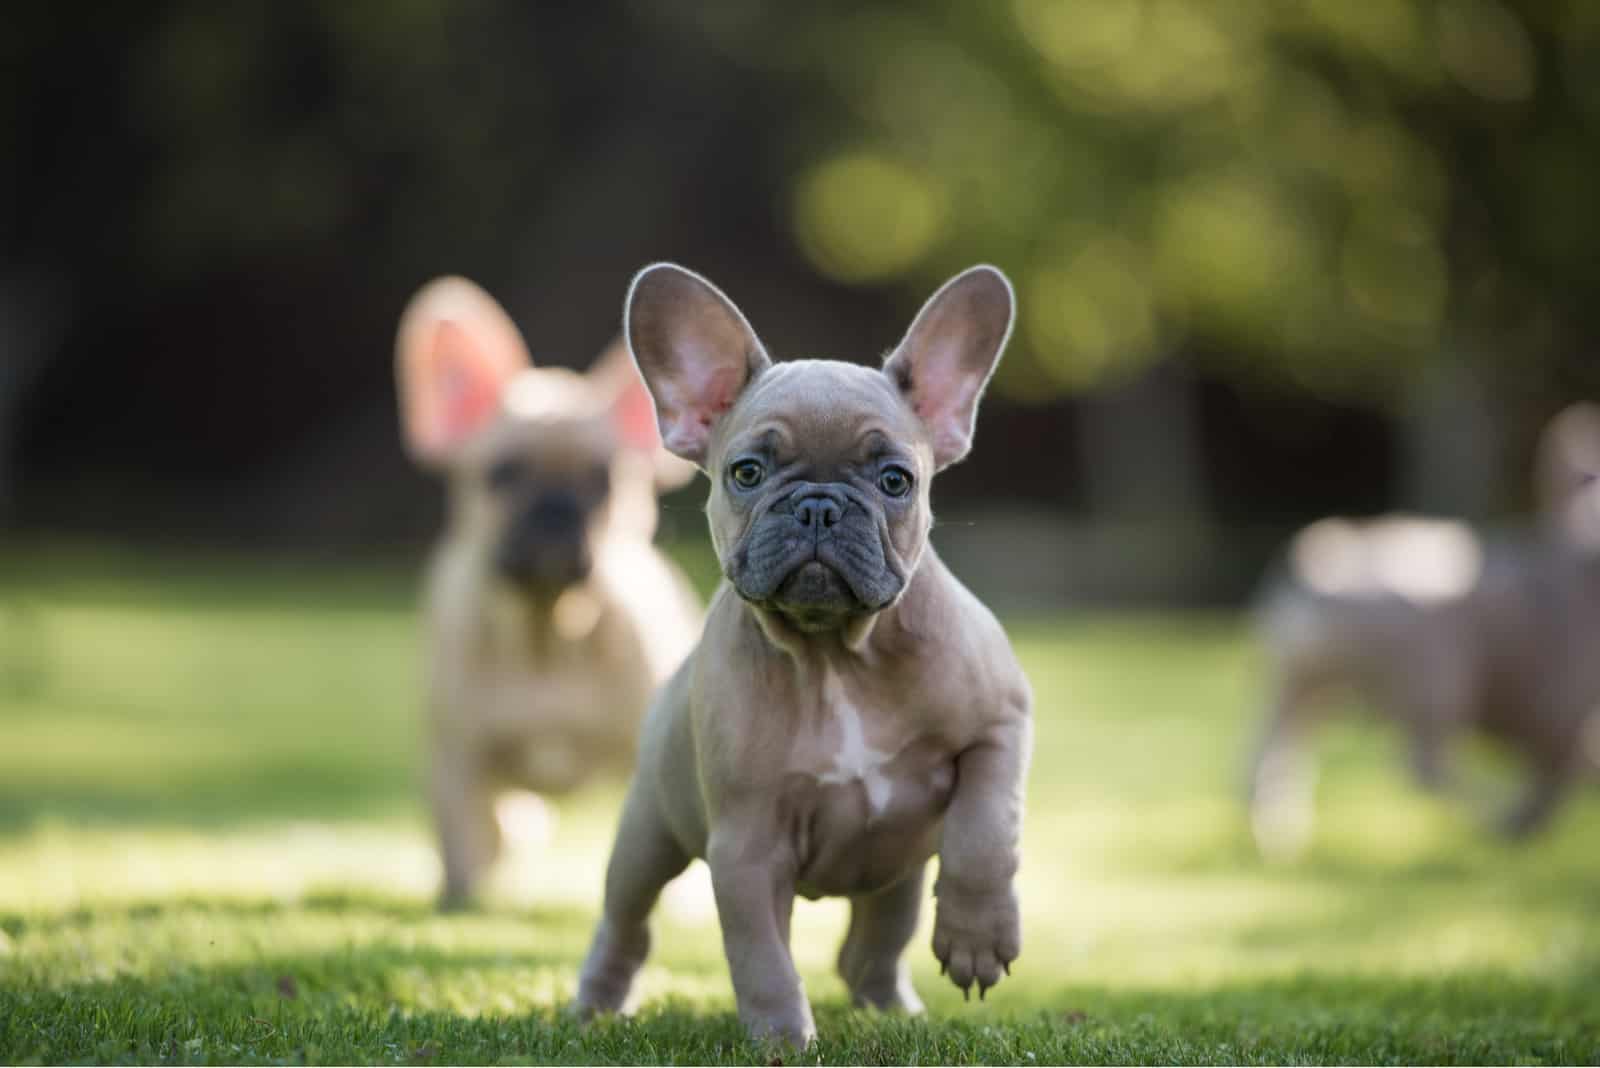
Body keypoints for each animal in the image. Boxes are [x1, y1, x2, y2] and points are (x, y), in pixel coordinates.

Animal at [393, 278, 700, 908]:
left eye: (604, 480)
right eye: (502, 473)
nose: (556, 510)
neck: (549, 631)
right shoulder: (456, 758)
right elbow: (460, 836)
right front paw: (459, 901)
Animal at [569, 265, 1030, 1042]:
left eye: (896, 480)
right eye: (747, 473)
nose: (818, 504)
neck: (835, 654)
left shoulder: (1001, 725)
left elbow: (984, 831)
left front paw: (976, 938)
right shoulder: (746, 847)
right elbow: (761, 958)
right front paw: (784, 1038)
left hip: (899, 873)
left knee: (875, 940)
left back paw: (891, 1005)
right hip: (647, 834)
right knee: (625, 919)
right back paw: (595, 1002)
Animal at [1248, 399, 1600, 856]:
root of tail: (1326, 564)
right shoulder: (1559, 709)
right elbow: (1558, 770)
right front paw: (1521, 825)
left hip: (1299, 687)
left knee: (1266, 759)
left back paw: (1277, 837)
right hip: (1435, 677)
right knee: (1426, 770)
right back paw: (1485, 814)